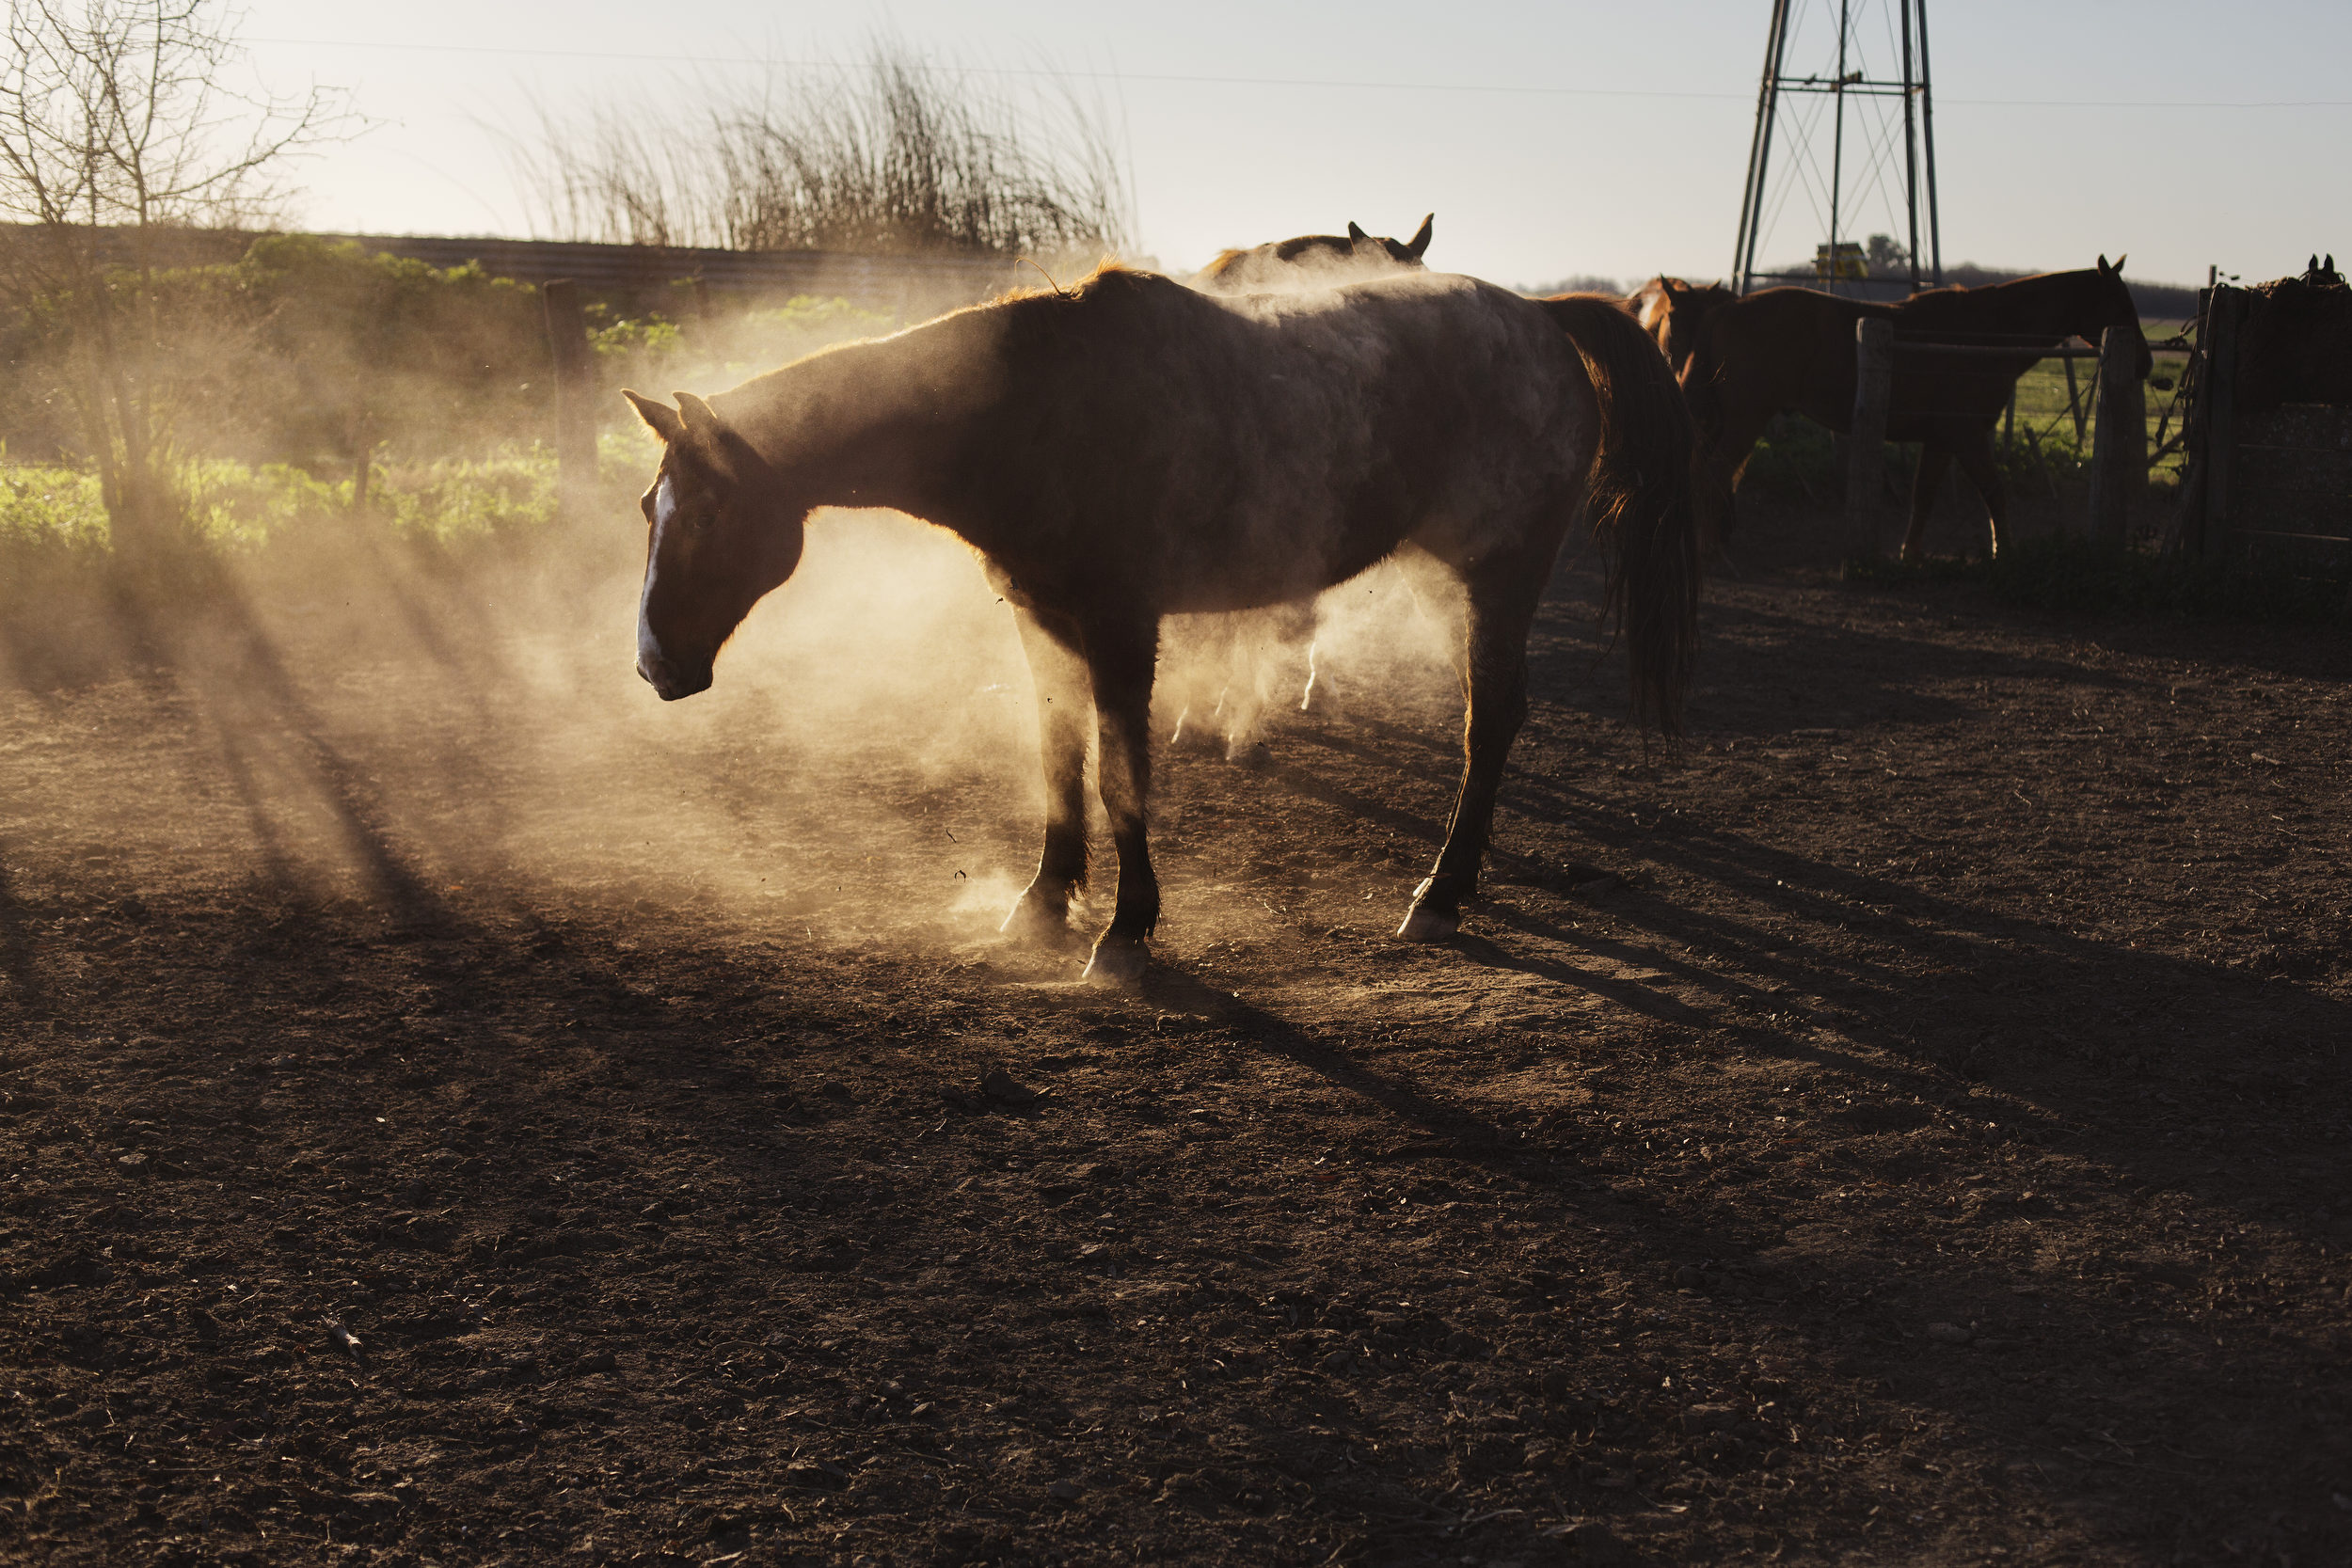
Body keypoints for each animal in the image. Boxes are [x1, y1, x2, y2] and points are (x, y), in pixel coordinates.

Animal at [626, 265, 1693, 987]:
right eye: (648, 508)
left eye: (709, 513)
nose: (652, 664)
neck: (1036, 412)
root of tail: (1543, 318)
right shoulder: (1043, 620)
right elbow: (1058, 760)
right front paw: (1042, 902)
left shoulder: (1121, 625)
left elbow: (1119, 771)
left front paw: (1125, 930)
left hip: (1498, 576)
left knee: (1490, 720)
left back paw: (1439, 894)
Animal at [1675, 252, 2154, 557]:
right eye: (2119, 303)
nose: (2146, 363)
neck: (1981, 335)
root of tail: (1727, 309)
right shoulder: (1965, 435)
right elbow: (1994, 492)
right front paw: (2005, 553)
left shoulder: (1941, 441)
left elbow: (1923, 498)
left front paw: (1910, 556)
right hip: (1744, 421)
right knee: (1711, 477)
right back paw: (1709, 549)